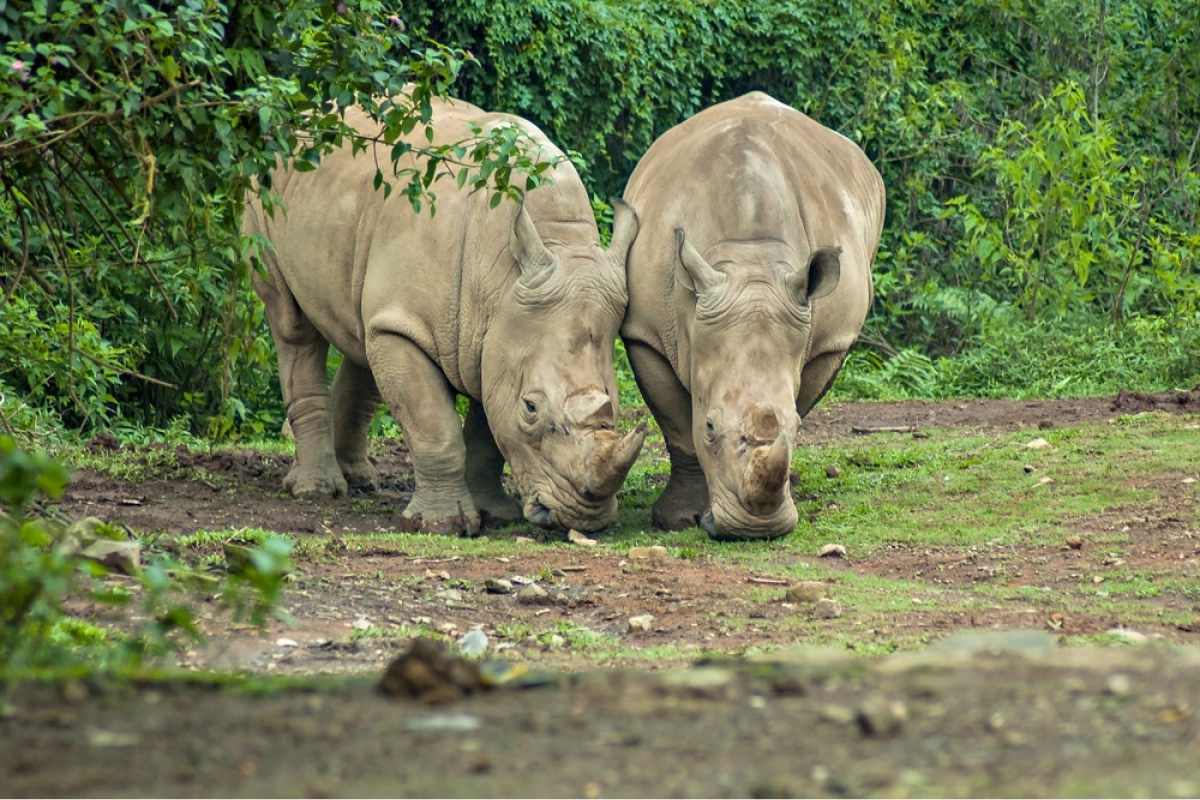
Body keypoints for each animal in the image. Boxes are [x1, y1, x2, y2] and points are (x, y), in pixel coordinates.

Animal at [244, 96, 645, 534]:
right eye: (531, 408)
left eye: (612, 400)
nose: (585, 517)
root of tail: (307, 113)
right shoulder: (447, 325)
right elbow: (435, 425)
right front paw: (443, 524)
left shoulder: (501, 335)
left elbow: (488, 431)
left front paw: (494, 513)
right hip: (266, 188)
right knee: (292, 324)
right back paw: (317, 491)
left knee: (365, 332)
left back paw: (358, 479)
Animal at [620, 92, 885, 540]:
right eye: (710, 426)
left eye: (797, 429)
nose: (755, 529)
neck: (749, 260)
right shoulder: (646, 333)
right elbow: (678, 428)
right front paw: (677, 520)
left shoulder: (828, 341)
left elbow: (798, 402)